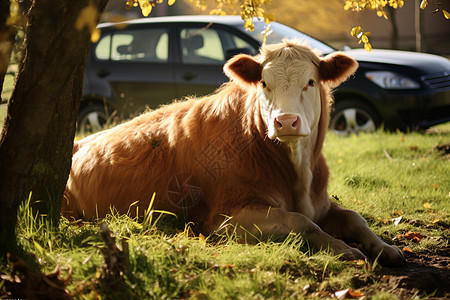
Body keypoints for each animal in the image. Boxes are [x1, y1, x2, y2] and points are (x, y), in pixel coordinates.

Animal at [64, 40, 408, 268]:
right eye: (264, 83)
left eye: (310, 82)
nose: (285, 121)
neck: (298, 176)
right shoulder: (227, 219)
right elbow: (301, 222)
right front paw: (343, 249)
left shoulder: (320, 202)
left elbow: (354, 217)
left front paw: (385, 247)